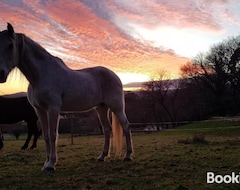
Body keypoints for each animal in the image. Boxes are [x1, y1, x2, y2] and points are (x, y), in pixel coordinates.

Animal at [0, 23, 133, 170]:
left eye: (11, 45)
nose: (0, 73)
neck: (41, 75)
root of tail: (115, 76)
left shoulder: (53, 109)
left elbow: (53, 134)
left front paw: (51, 164)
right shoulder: (40, 110)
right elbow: (45, 135)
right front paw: (46, 163)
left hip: (117, 107)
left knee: (126, 126)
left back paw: (128, 156)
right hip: (101, 108)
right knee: (107, 129)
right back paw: (102, 157)